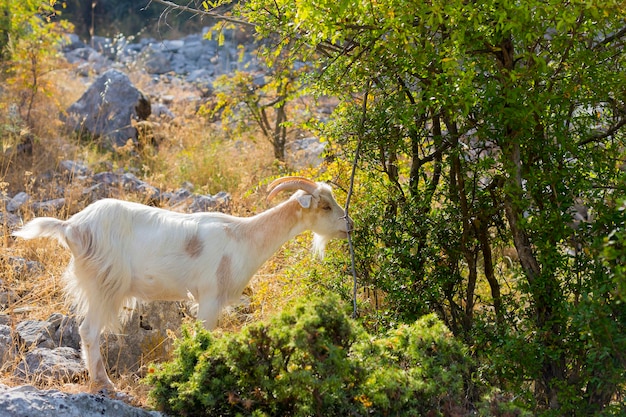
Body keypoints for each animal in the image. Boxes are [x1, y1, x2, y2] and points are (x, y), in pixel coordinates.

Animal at [13, 177, 352, 388]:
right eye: (325, 206)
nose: (348, 225)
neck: (244, 236)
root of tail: (71, 226)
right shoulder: (210, 298)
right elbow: (203, 340)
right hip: (104, 284)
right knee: (88, 331)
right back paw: (104, 383)